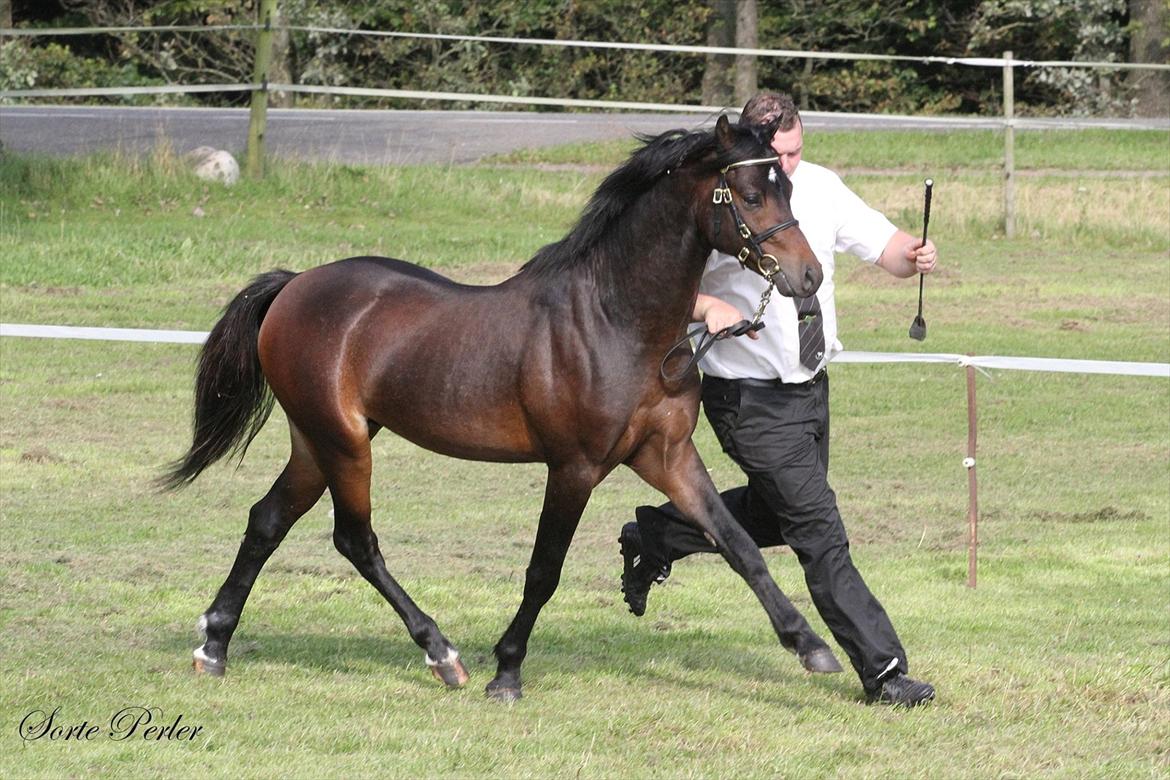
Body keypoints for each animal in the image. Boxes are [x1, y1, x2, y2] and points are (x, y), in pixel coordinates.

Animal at [164, 114, 842, 701]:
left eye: (786, 187)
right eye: (751, 195)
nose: (808, 276)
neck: (617, 321)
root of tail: (294, 286)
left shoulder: (666, 454)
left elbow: (737, 543)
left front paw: (811, 645)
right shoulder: (574, 467)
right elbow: (544, 570)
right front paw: (507, 671)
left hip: (318, 440)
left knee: (267, 521)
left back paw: (214, 645)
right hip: (342, 443)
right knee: (355, 539)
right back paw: (442, 654)